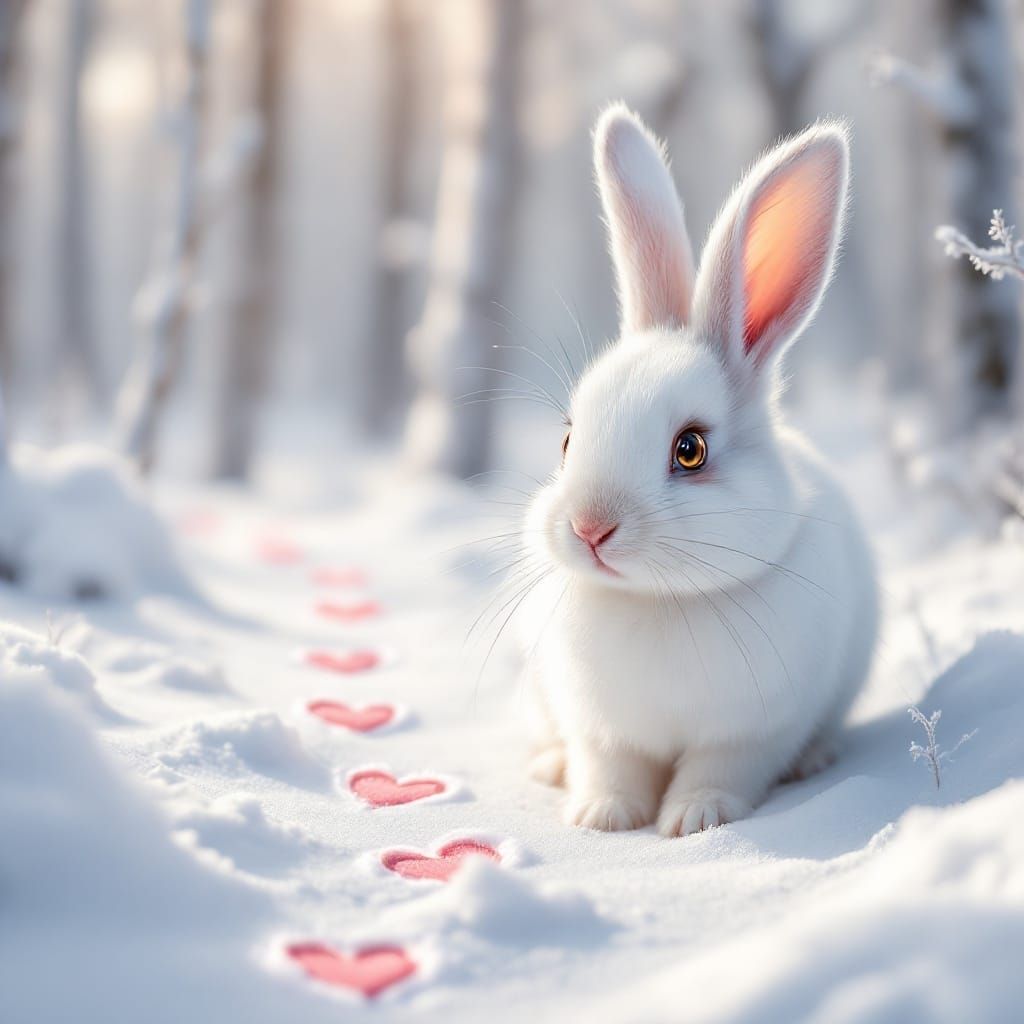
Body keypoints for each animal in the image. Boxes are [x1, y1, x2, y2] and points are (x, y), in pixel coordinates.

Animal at [518, 104, 878, 836]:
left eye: (691, 450)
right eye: (568, 440)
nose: (591, 528)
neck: (659, 602)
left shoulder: (753, 733)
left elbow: (721, 771)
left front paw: (694, 819)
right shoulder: (601, 730)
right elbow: (610, 768)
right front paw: (601, 816)